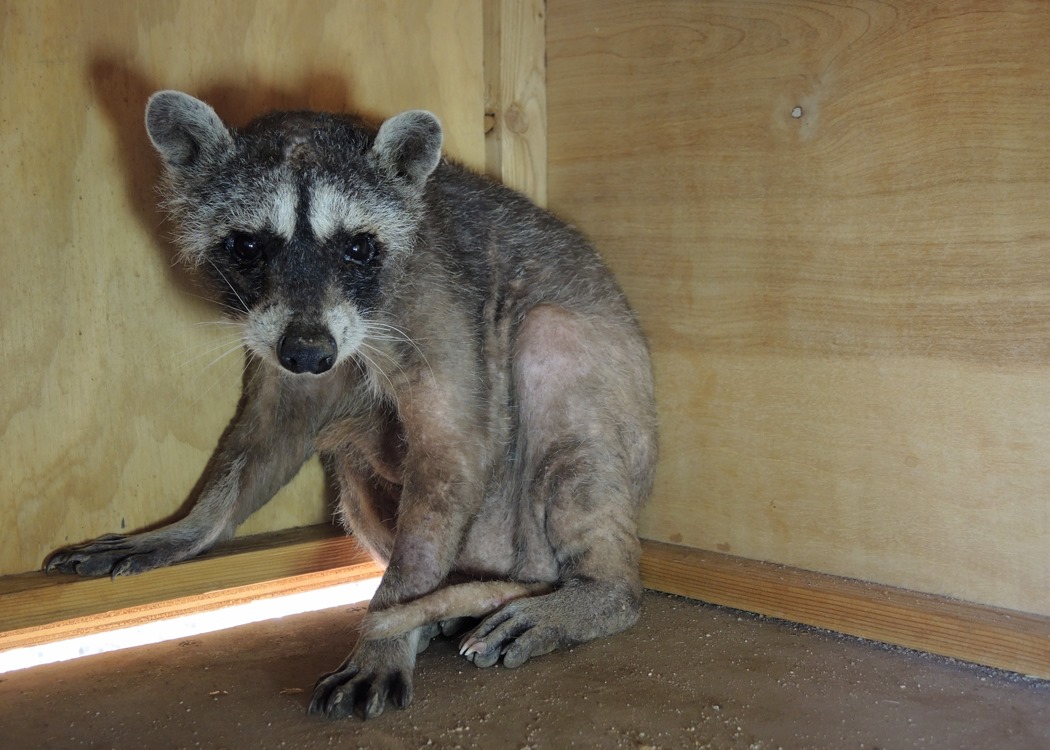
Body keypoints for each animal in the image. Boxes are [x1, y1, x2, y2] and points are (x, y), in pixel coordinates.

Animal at [49, 90, 659, 722]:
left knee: (551, 344)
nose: (307, 354)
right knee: (356, 477)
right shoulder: (282, 336)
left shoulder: (434, 298)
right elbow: (272, 430)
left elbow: (453, 452)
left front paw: (385, 632)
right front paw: (194, 523)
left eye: (357, 247)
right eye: (247, 245)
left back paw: (597, 590)